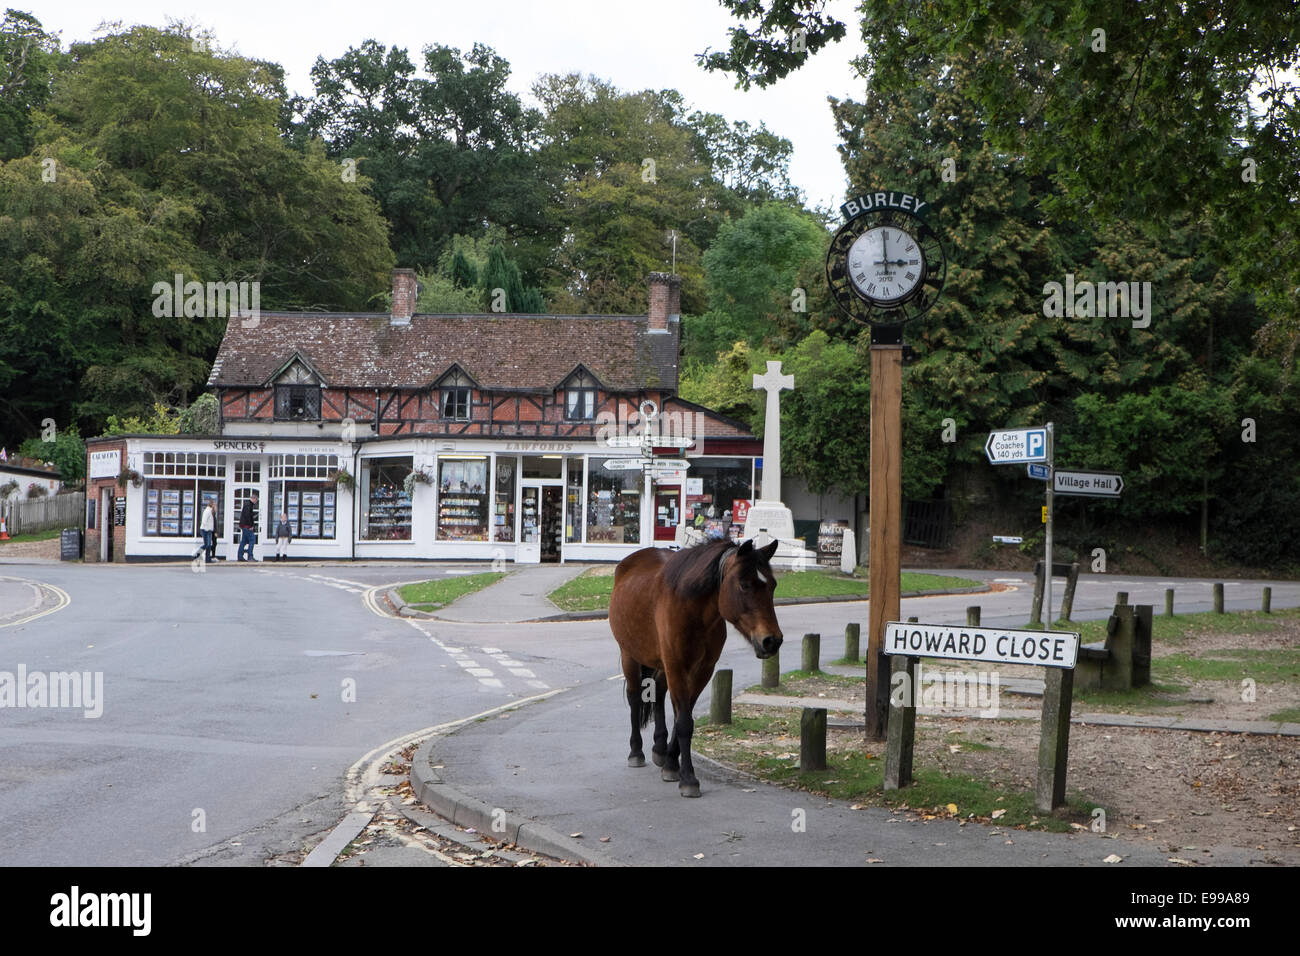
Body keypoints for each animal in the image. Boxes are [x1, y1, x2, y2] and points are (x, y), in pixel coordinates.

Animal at [608, 538, 780, 801]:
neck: (692, 609)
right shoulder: (677, 666)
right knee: (635, 698)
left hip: (663, 665)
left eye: (773, 585)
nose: (772, 640)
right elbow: (684, 721)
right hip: (630, 655)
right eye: (744, 585)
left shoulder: (702, 670)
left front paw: (671, 764)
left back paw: (659, 748)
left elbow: (683, 715)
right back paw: (636, 752)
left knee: (659, 692)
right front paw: (688, 778)